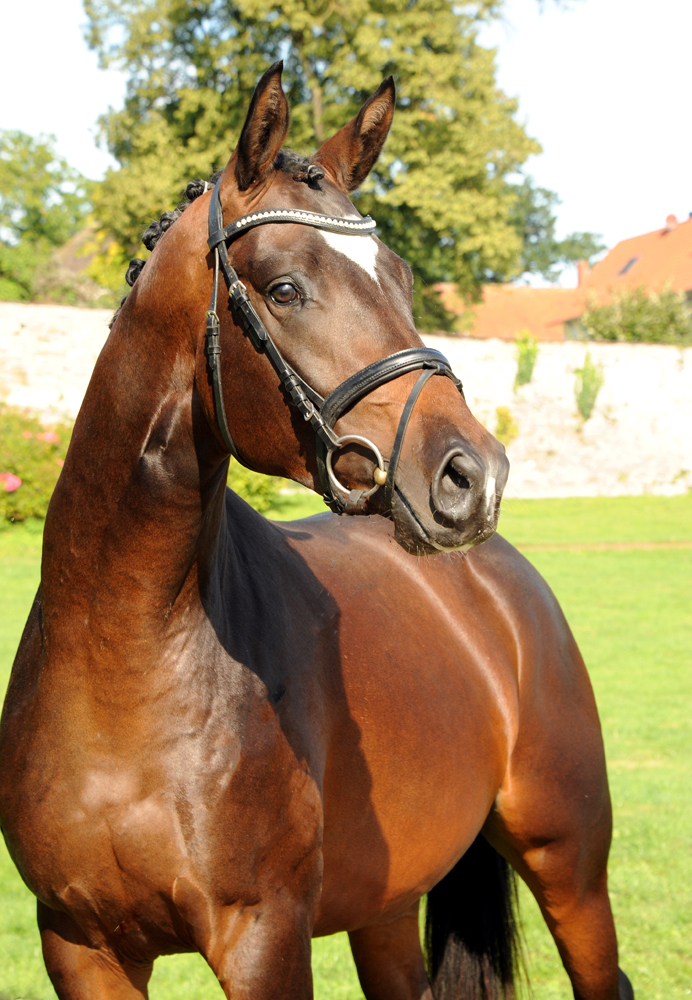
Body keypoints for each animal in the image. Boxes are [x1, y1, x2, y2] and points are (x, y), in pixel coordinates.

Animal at [0, 62, 632, 1000]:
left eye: (403, 280)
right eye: (285, 288)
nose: (472, 475)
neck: (122, 659)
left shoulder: (264, 936)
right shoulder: (78, 944)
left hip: (570, 863)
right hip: (387, 908)